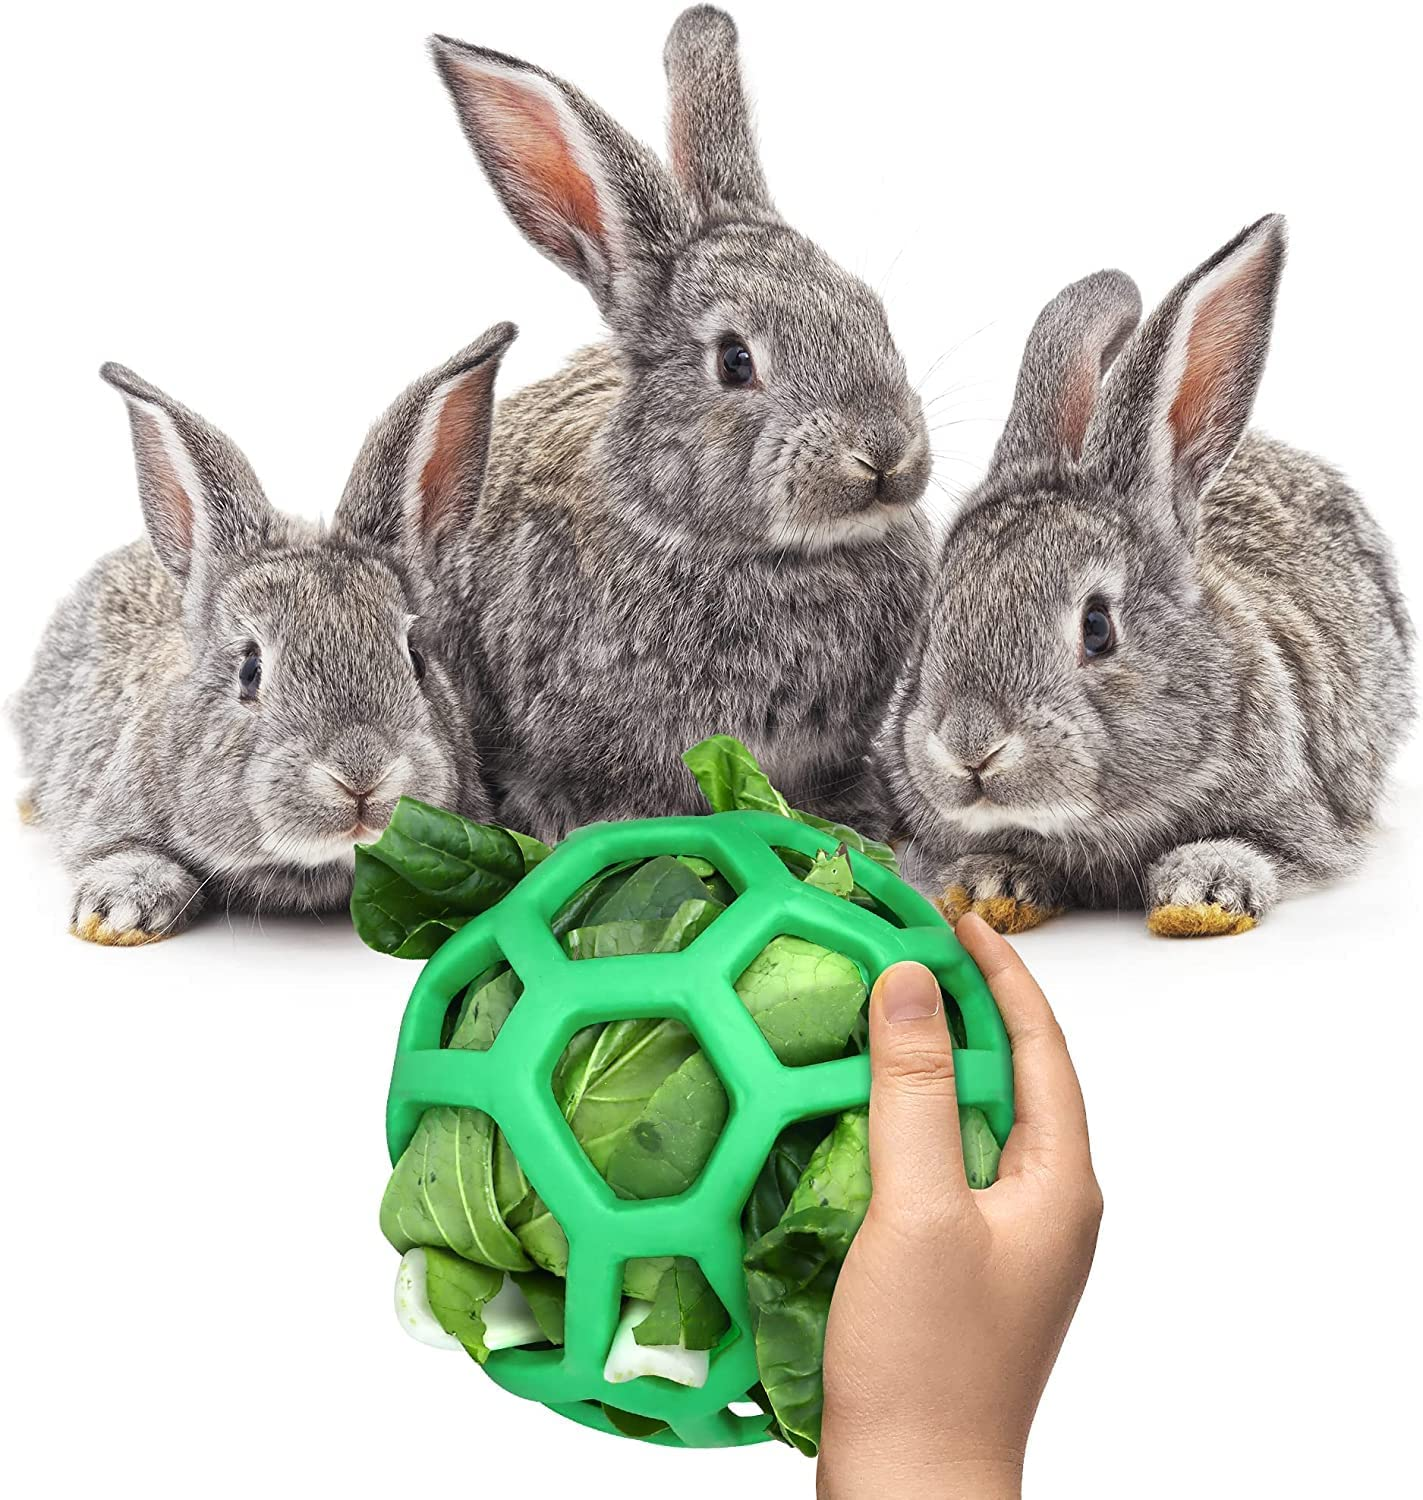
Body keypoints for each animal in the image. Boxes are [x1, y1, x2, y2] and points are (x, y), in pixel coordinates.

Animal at [884, 215, 1414, 937]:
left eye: (1097, 627)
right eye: (929, 624)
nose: (971, 748)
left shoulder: (1303, 820)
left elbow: (1263, 853)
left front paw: (1201, 895)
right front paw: (988, 887)